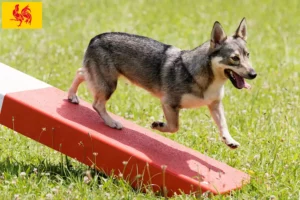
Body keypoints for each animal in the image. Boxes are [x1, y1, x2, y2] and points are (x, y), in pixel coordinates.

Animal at [67, 18, 255, 148]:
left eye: (247, 55)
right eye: (234, 58)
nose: (254, 74)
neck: (209, 79)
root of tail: (96, 38)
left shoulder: (215, 104)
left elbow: (223, 124)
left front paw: (229, 140)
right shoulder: (169, 103)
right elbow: (174, 127)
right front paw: (158, 126)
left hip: (100, 79)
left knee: (80, 72)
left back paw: (72, 96)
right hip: (109, 84)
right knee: (97, 104)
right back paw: (111, 122)